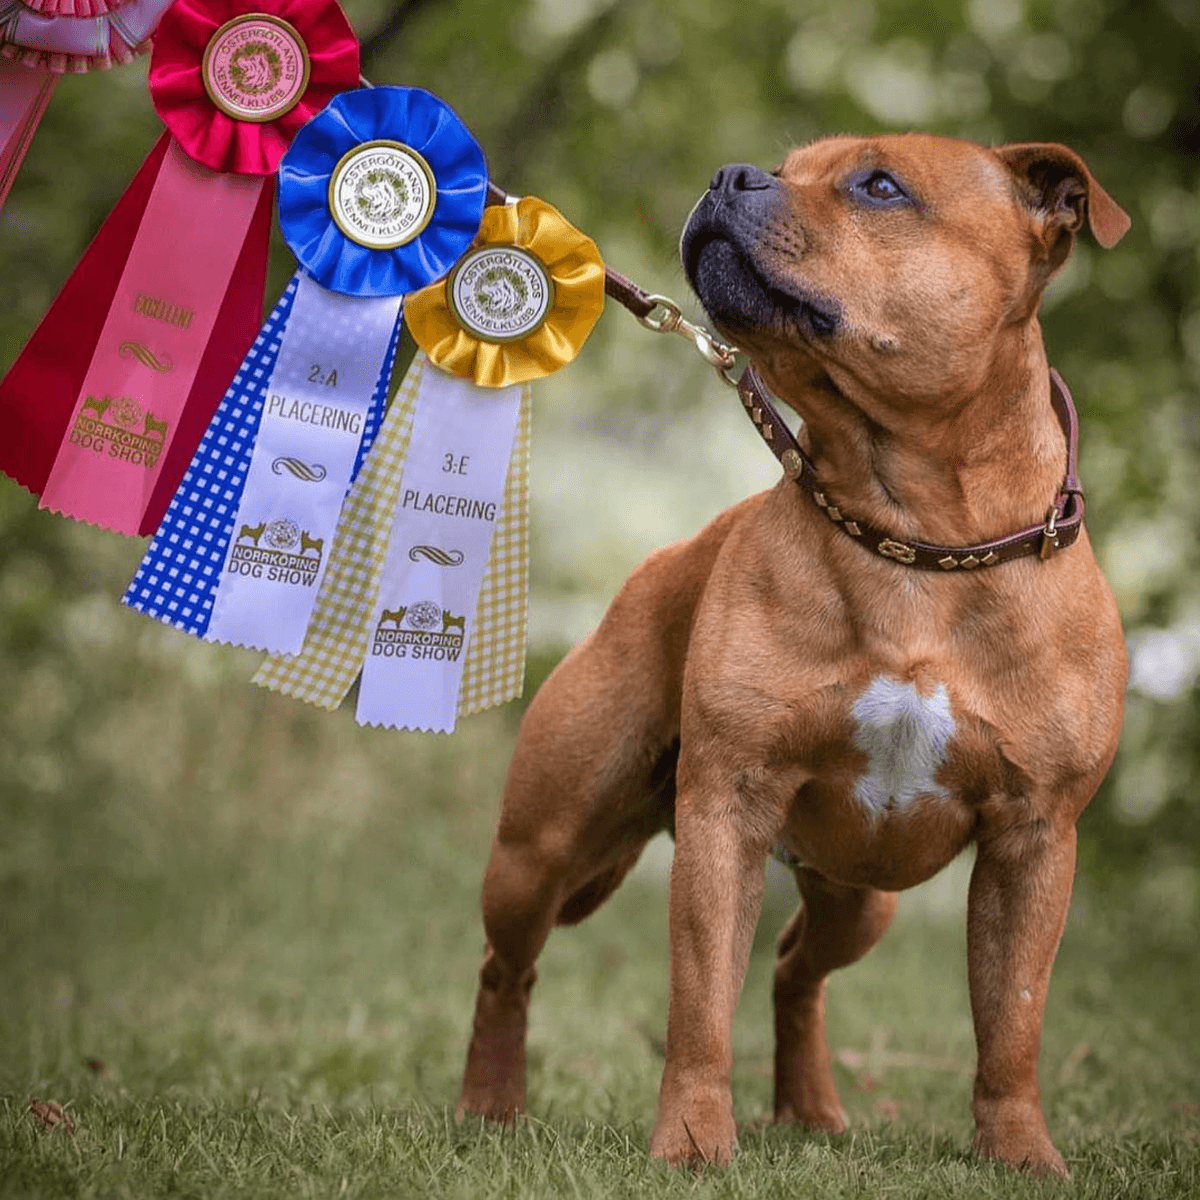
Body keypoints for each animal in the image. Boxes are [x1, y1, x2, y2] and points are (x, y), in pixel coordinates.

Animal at [453, 136, 1128, 1176]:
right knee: (507, 967)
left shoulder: (1035, 840)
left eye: (880, 186)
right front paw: (694, 1143)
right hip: (541, 848)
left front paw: (1020, 1154)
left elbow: (1013, 1018)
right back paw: (489, 1105)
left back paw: (810, 1110)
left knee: (794, 969)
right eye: (786, 162)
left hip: (863, 895)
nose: (731, 176)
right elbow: (699, 1004)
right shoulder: (726, 810)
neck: (916, 537)